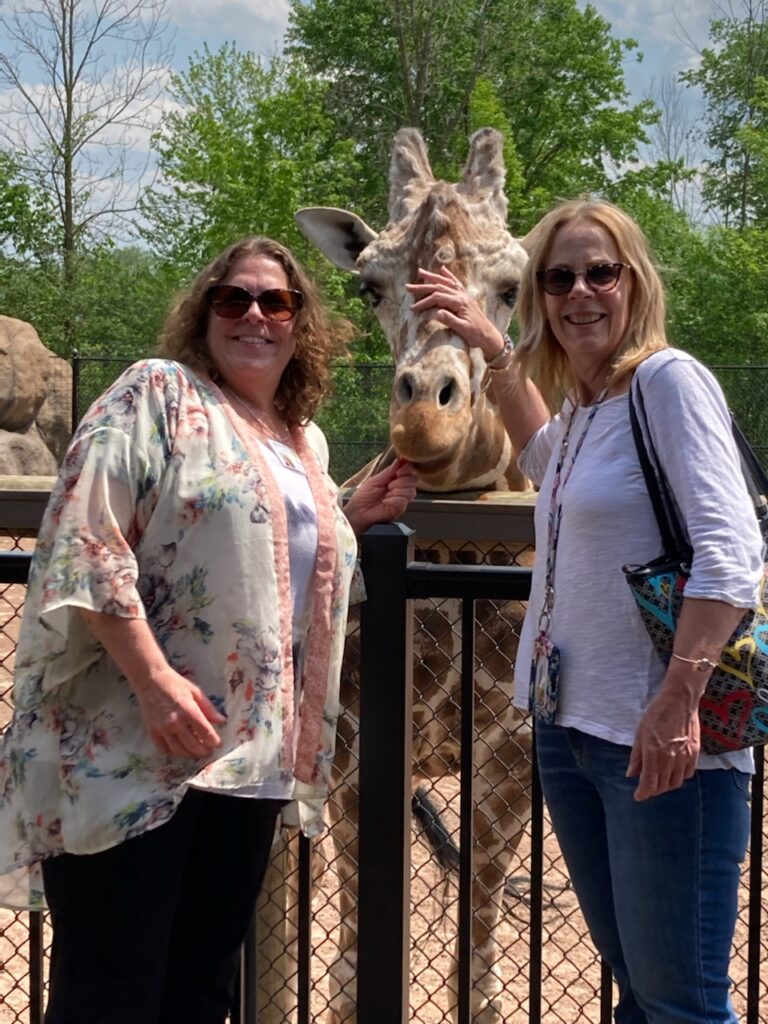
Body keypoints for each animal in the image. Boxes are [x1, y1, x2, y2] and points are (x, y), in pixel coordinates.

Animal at [296, 128, 536, 1024]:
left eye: (511, 286)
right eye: (369, 286)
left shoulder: (511, 763)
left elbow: (481, 969)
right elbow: (352, 969)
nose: (425, 419)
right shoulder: (359, 753)